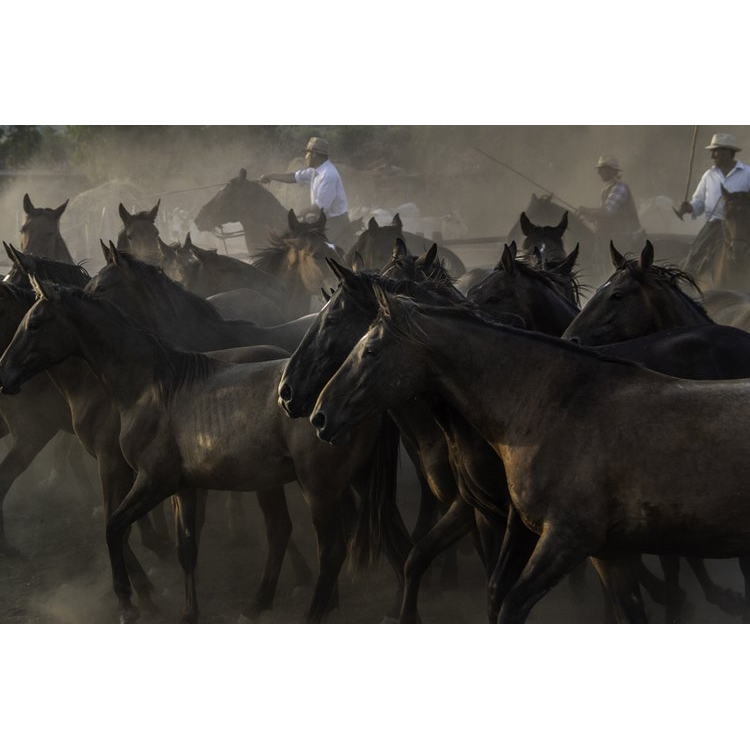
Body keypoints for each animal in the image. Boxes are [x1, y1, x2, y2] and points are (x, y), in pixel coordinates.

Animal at [0, 280, 412, 624]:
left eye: (35, 323)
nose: (5, 374)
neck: (152, 386)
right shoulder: (184, 488)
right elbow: (186, 548)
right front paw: (188, 612)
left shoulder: (152, 481)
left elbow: (114, 527)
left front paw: (129, 603)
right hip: (354, 482)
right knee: (389, 538)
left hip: (319, 490)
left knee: (331, 552)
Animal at [312, 290, 750, 624]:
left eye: (370, 350)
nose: (320, 415)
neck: (554, 407)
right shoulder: (608, 553)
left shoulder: (565, 539)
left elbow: (509, 605)